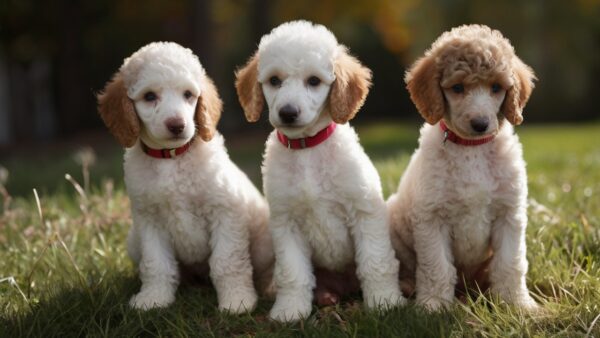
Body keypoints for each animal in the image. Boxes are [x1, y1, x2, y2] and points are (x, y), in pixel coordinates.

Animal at [96, 41, 274, 312]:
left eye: (188, 94)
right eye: (149, 96)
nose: (177, 125)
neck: (172, 158)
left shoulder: (225, 213)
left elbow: (227, 262)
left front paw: (237, 301)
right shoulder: (150, 221)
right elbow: (156, 264)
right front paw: (154, 299)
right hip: (133, 241)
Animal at [234, 20, 404, 322]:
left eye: (313, 81)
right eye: (274, 81)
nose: (288, 112)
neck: (306, 149)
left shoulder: (364, 211)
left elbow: (376, 261)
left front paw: (385, 301)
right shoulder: (286, 223)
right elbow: (293, 273)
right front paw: (290, 310)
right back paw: (324, 297)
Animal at [390, 24, 540, 312]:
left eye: (496, 87)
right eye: (457, 88)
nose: (480, 124)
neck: (472, 148)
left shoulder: (508, 214)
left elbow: (510, 264)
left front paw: (517, 304)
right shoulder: (432, 217)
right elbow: (436, 266)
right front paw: (434, 306)